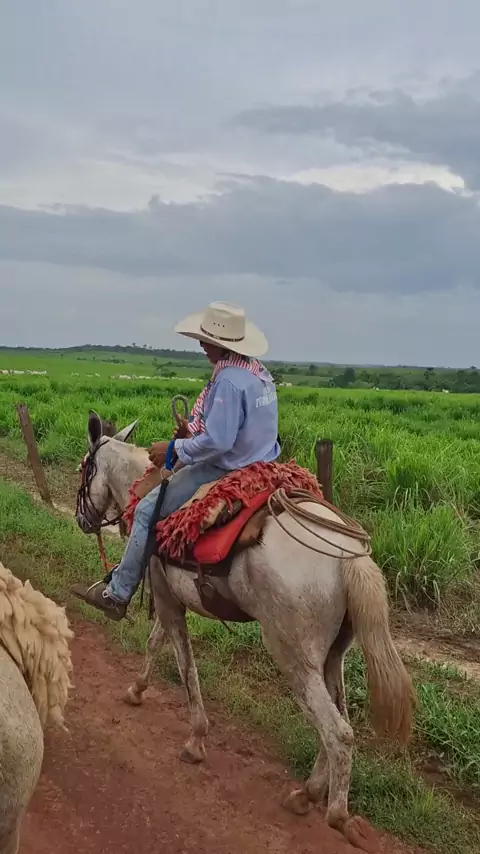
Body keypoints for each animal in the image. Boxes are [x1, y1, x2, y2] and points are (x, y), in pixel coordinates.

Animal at [74, 410, 414, 851]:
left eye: (84, 469)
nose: (81, 518)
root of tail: (348, 557)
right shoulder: (169, 597)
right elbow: (156, 643)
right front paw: (137, 689)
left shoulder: (166, 597)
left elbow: (182, 663)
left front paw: (195, 740)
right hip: (332, 654)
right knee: (338, 719)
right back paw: (308, 793)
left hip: (291, 653)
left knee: (337, 732)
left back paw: (335, 813)